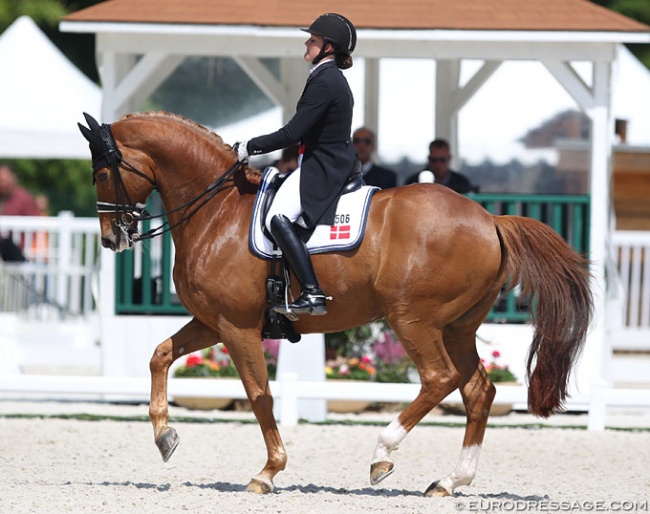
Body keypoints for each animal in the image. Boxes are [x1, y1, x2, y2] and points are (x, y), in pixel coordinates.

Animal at [78, 110, 588, 494]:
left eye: (101, 172)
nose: (110, 239)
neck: (217, 211)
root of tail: (489, 219)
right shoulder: (213, 321)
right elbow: (160, 354)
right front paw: (165, 435)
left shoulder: (237, 327)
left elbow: (260, 396)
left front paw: (268, 472)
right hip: (457, 326)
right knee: (477, 391)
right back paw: (450, 481)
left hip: (413, 319)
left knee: (439, 379)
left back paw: (383, 454)